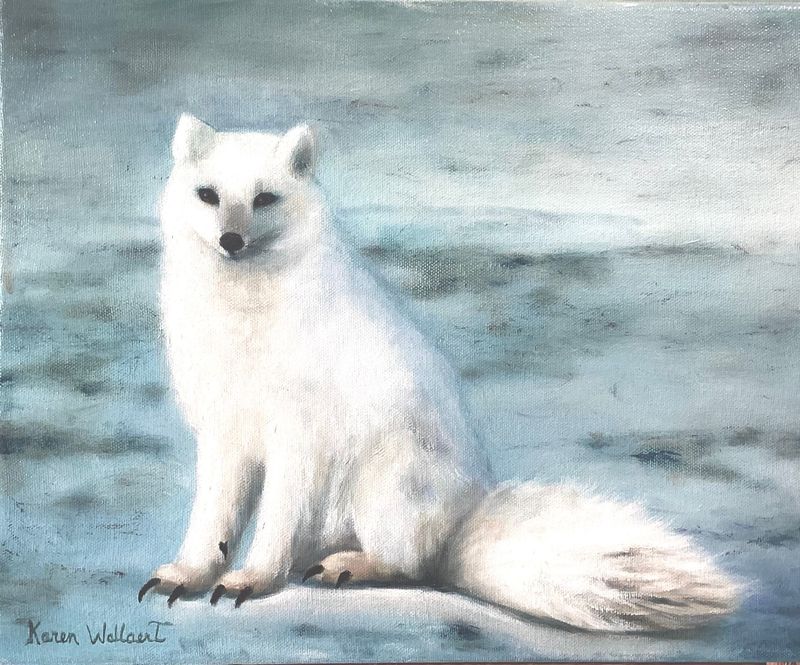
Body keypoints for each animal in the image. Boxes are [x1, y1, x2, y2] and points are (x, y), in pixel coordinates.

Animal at [139, 112, 739, 632]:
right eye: (208, 195)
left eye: (264, 198)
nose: (231, 241)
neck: (241, 321)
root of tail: (462, 525)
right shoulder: (222, 428)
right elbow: (212, 517)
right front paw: (189, 574)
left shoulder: (300, 433)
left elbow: (276, 519)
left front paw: (253, 580)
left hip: (390, 474)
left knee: (416, 564)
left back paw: (350, 565)